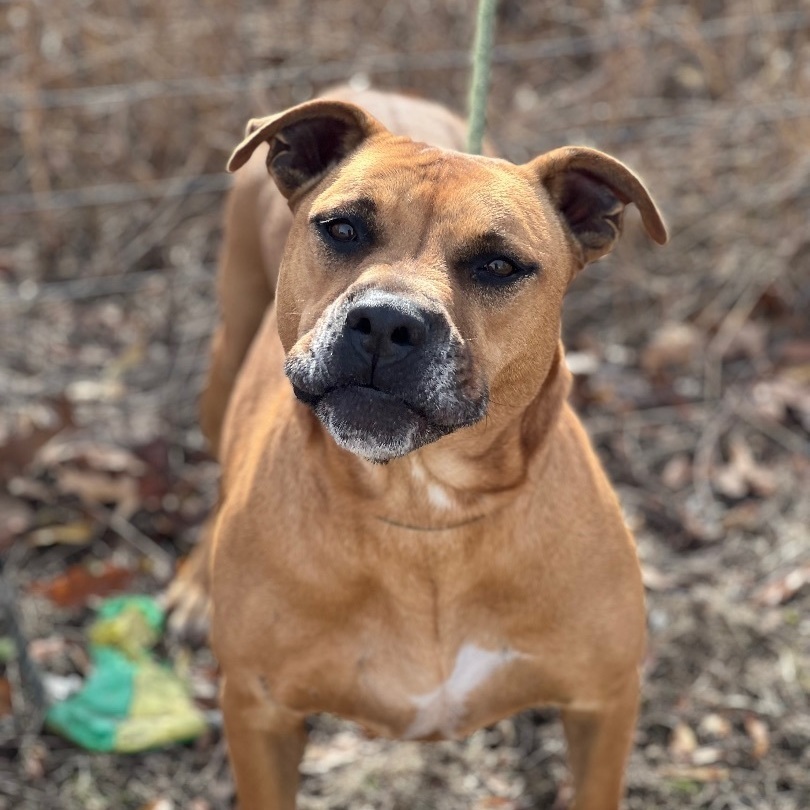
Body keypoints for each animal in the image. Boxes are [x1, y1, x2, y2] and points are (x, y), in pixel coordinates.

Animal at [170, 85, 664, 804]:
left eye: (498, 265)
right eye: (342, 229)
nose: (386, 321)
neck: (425, 507)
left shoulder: (603, 701)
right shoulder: (259, 713)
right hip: (226, 349)